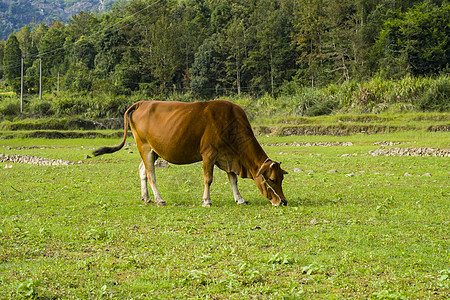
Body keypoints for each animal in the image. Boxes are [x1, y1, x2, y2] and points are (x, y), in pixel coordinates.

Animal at [93, 100, 288, 206]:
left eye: (281, 178)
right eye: (272, 179)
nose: (283, 201)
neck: (230, 124)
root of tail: (141, 103)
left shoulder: (228, 156)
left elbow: (233, 179)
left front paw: (240, 199)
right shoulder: (209, 154)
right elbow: (208, 179)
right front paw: (207, 201)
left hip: (154, 150)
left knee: (142, 170)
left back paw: (146, 198)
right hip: (145, 147)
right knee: (150, 174)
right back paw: (159, 199)